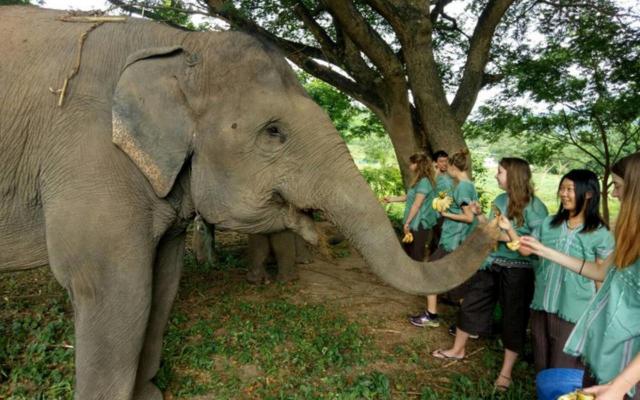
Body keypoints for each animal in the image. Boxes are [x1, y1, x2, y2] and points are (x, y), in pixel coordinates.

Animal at [0, 6, 498, 400]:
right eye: (274, 132)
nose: (490, 218)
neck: (182, 44)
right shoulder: (88, 154)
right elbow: (114, 288)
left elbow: (162, 281)